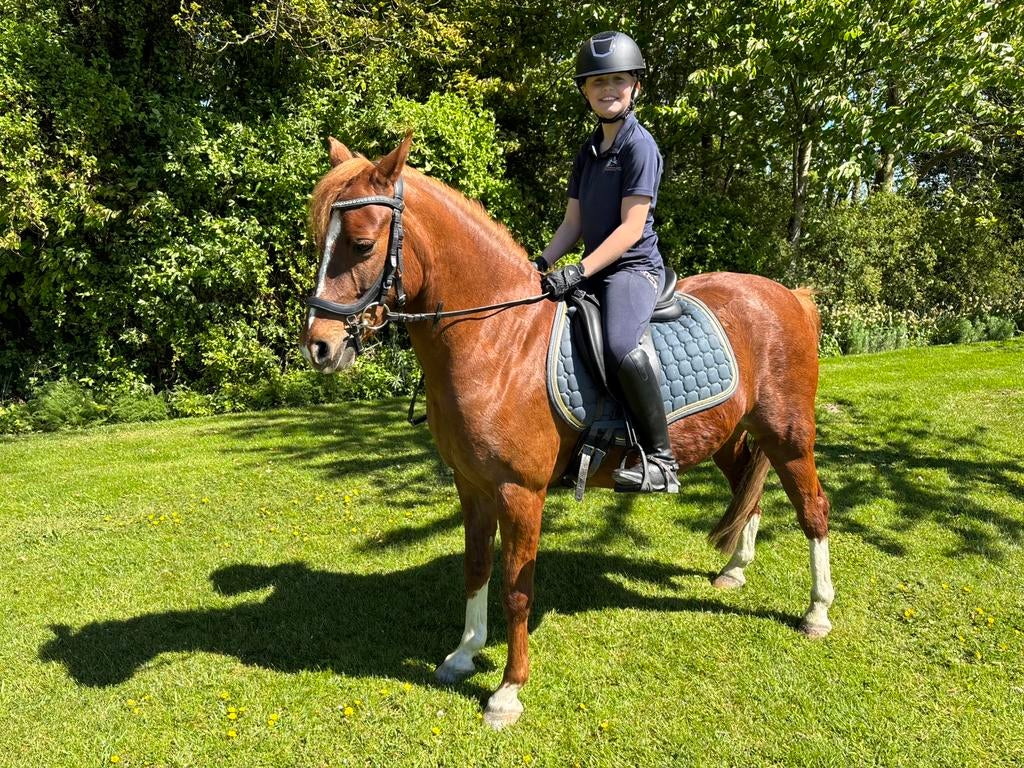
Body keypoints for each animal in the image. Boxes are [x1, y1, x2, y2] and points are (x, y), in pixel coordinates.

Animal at [300, 133, 834, 729]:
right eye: (320, 240)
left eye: (363, 245)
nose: (319, 347)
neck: (499, 338)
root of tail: (789, 294)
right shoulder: (472, 486)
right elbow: (476, 568)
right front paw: (463, 654)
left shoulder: (520, 492)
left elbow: (517, 589)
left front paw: (508, 691)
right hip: (729, 433)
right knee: (748, 488)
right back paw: (735, 570)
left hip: (788, 434)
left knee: (813, 508)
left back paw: (817, 612)